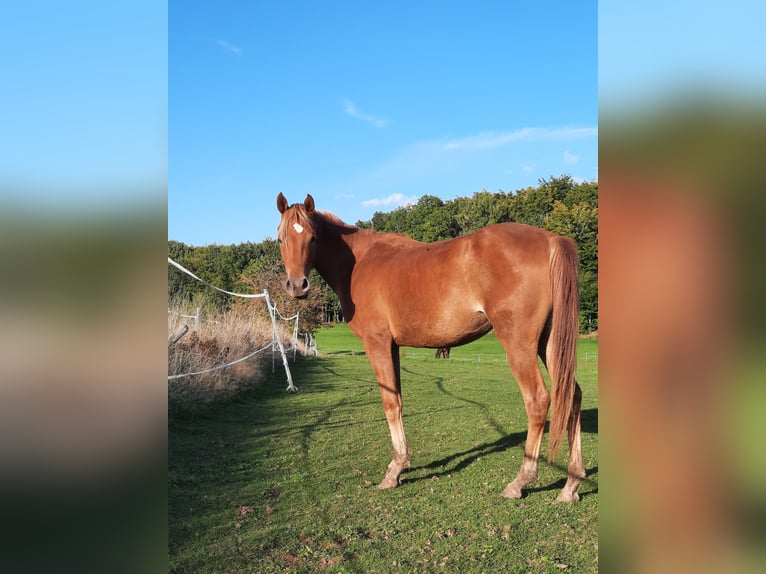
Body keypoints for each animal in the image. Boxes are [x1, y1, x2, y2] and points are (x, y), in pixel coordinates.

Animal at [276, 193, 585, 502]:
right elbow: (398, 399)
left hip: (519, 344)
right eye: (281, 239)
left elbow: (389, 403)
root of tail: (551, 239)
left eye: (313, 237)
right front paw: (400, 465)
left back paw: (520, 481)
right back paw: (571, 485)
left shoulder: (377, 344)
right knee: (572, 394)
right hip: (550, 343)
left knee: (538, 399)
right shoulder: (393, 347)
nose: (297, 286)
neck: (359, 262)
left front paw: (394, 472)